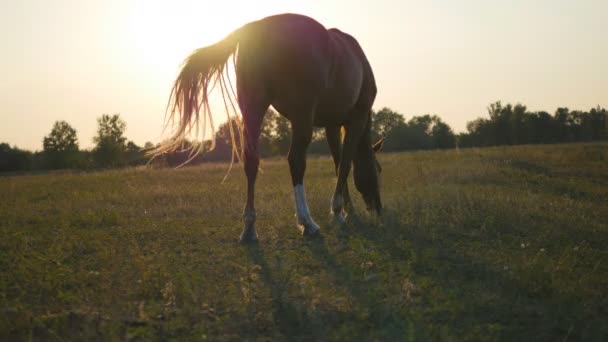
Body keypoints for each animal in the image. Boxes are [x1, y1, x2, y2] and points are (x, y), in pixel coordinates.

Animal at [157, 13, 384, 242]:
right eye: (378, 169)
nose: (378, 209)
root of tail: (259, 28)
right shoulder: (356, 119)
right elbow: (345, 164)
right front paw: (339, 212)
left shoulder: (332, 126)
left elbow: (339, 164)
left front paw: (347, 211)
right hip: (301, 116)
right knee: (296, 161)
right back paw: (307, 222)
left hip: (253, 109)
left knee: (251, 161)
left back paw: (249, 228)